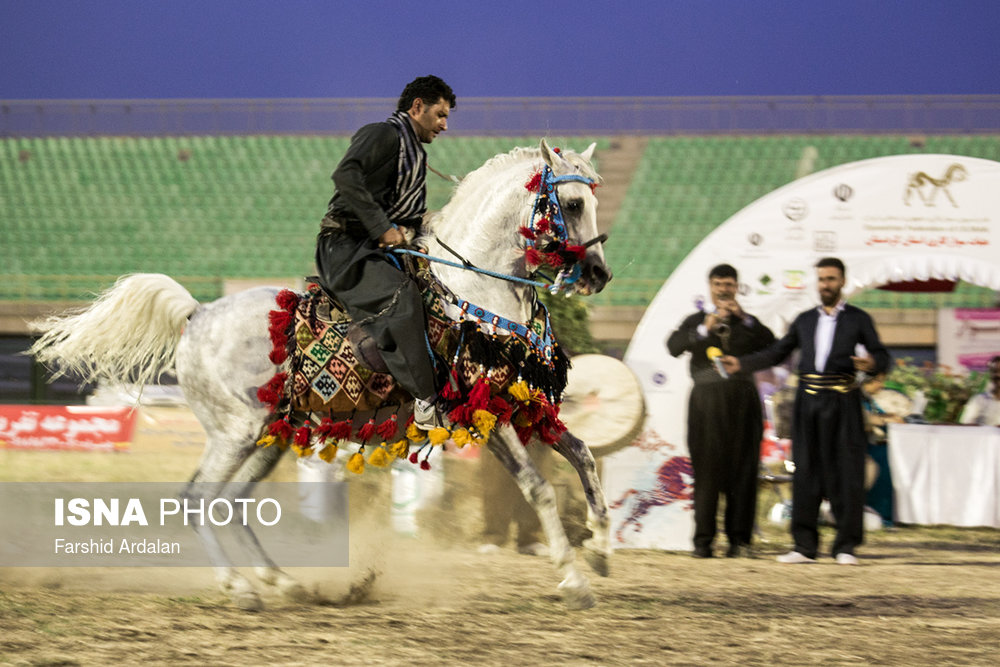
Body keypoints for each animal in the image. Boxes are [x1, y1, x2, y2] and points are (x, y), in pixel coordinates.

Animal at [29, 140, 608, 612]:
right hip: (235, 433)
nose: (599, 276)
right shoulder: (483, 413)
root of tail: (198, 314)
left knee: (229, 505)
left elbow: (583, 456)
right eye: (572, 204)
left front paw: (601, 547)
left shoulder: (521, 404)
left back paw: (283, 582)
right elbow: (539, 487)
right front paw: (573, 581)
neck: (473, 290)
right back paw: (240, 589)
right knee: (199, 500)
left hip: (269, 437)